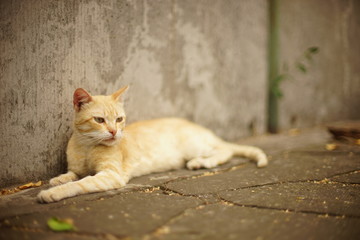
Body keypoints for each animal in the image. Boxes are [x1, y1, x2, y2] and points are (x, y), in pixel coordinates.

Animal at [37, 86, 268, 202]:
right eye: (99, 120)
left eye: (119, 119)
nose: (113, 132)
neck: (86, 146)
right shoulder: (77, 168)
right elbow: (72, 175)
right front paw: (57, 180)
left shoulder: (111, 174)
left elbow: (80, 183)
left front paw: (52, 193)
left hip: (194, 146)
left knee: (225, 150)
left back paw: (202, 162)